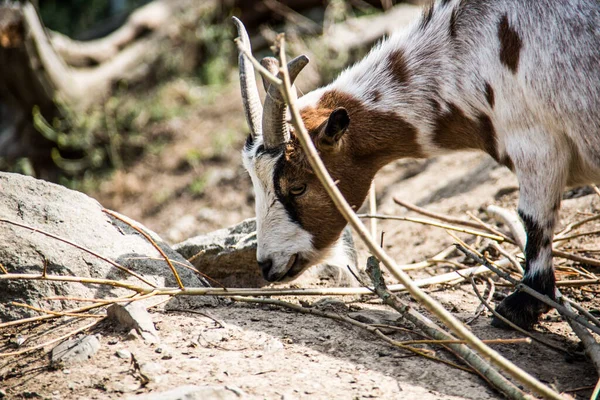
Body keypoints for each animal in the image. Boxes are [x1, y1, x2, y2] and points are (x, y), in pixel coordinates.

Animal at [233, 0, 600, 330]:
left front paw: (521, 306)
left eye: (297, 186)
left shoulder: (537, 144)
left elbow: (532, 219)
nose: (267, 265)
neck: (470, 51)